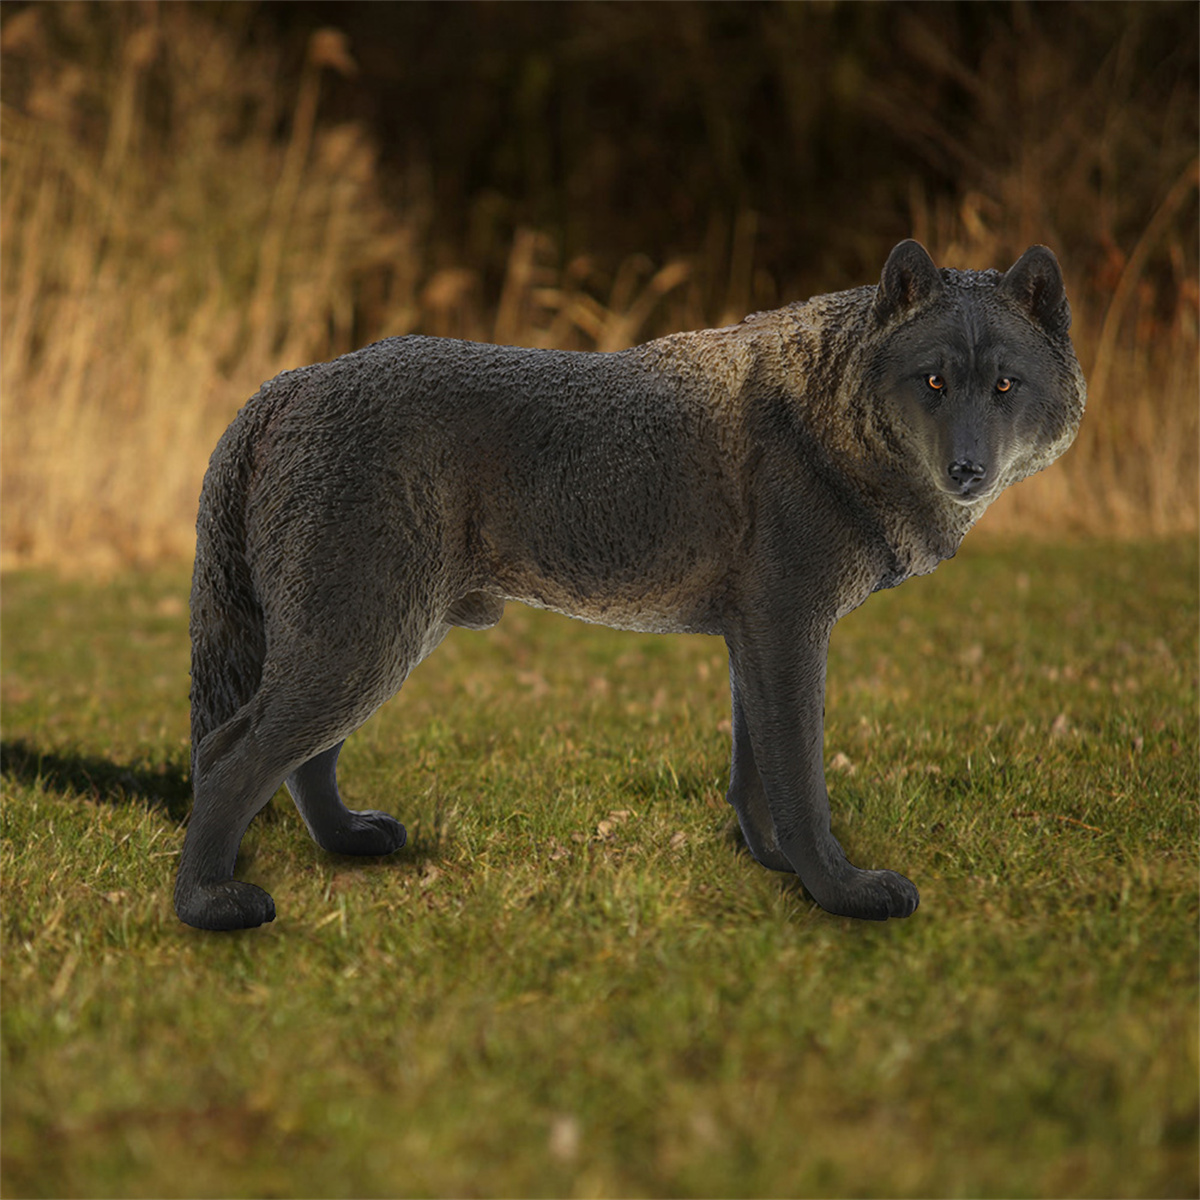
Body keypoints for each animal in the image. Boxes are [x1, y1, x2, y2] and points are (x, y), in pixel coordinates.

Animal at [175, 239, 1085, 931]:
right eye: (933, 382)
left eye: (1004, 386)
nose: (967, 472)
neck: (829, 418)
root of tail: (287, 383)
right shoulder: (790, 630)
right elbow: (801, 785)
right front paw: (840, 893)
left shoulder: (754, 640)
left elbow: (756, 780)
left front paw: (771, 866)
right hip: (365, 644)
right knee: (228, 756)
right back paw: (208, 907)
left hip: (377, 643)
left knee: (299, 762)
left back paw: (348, 843)